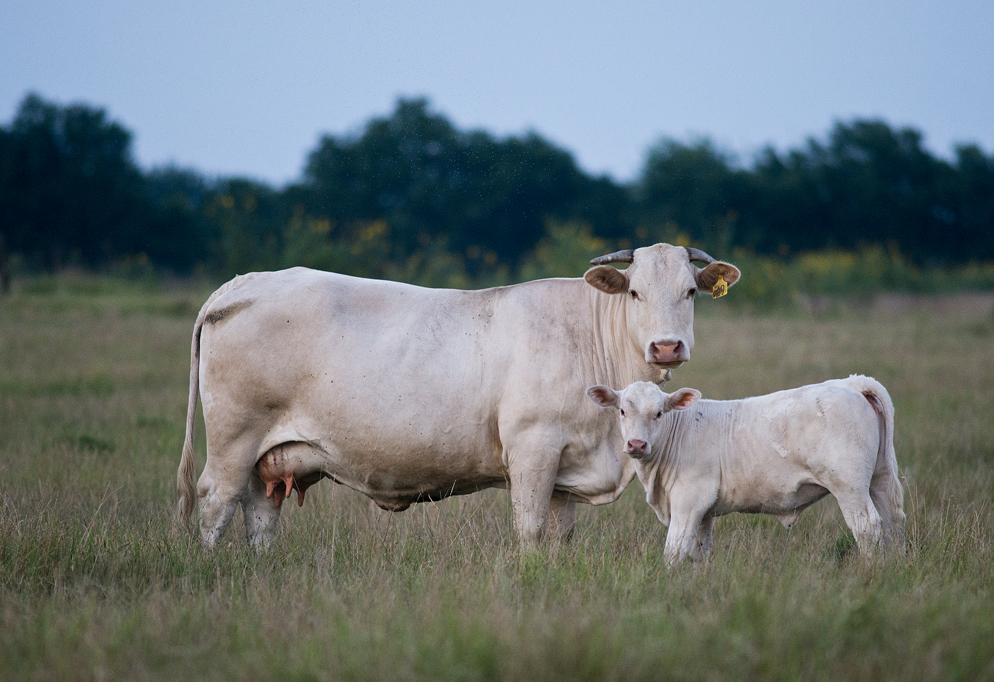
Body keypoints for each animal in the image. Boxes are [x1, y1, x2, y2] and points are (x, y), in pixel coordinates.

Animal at [177, 244, 741, 549]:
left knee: (259, 514)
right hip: (233, 439)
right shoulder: (533, 451)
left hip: (267, 459)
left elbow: (559, 536)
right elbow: (530, 530)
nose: (666, 346)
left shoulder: (567, 467)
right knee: (214, 501)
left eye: (690, 292)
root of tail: (242, 283)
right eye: (635, 292)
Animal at [585, 376, 905, 564]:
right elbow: (699, 552)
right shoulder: (704, 513)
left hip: (849, 487)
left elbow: (674, 551)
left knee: (868, 527)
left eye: (659, 413)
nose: (636, 444)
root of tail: (853, 382)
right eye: (622, 411)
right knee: (894, 521)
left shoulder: (689, 502)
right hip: (880, 478)